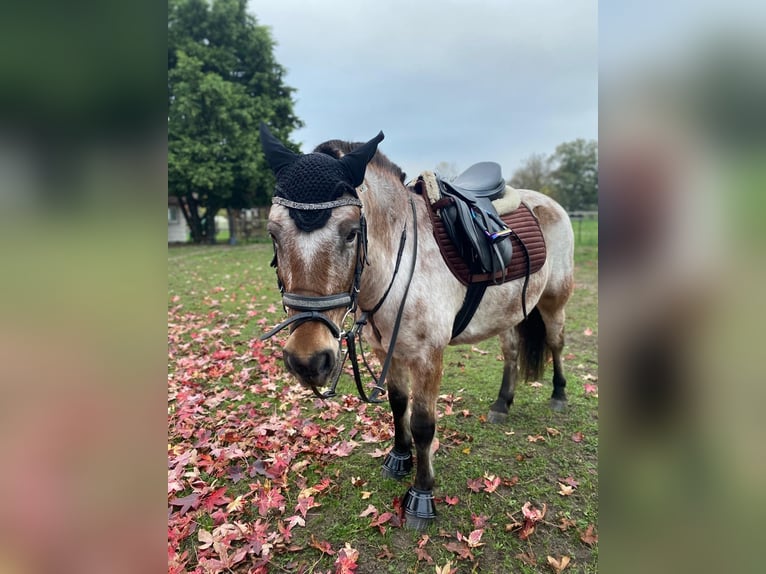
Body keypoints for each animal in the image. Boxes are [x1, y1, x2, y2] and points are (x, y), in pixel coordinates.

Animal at [260, 126, 576, 532]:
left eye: (351, 232)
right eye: (273, 234)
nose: (308, 360)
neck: (396, 265)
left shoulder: (428, 357)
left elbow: (424, 424)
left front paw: (421, 495)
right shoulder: (387, 351)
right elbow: (398, 405)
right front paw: (398, 458)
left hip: (554, 302)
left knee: (556, 342)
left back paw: (558, 395)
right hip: (510, 311)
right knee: (511, 352)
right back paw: (502, 403)